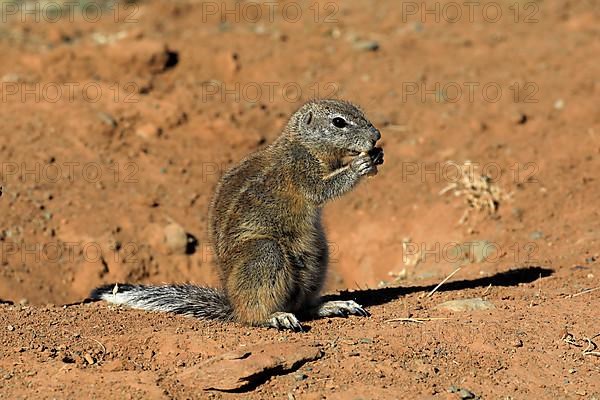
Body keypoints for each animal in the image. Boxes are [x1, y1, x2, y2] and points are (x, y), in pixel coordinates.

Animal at [92, 99, 384, 332]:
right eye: (339, 122)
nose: (376, 136)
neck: (301, 144)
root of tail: (232, 304)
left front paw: (376, 157)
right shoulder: (301, 171)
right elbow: (324, 189)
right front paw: (360, 164)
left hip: (318, 256)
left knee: (303, 306)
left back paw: (334, 305)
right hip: (265, 252)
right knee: (255, 313)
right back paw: (277, 317)